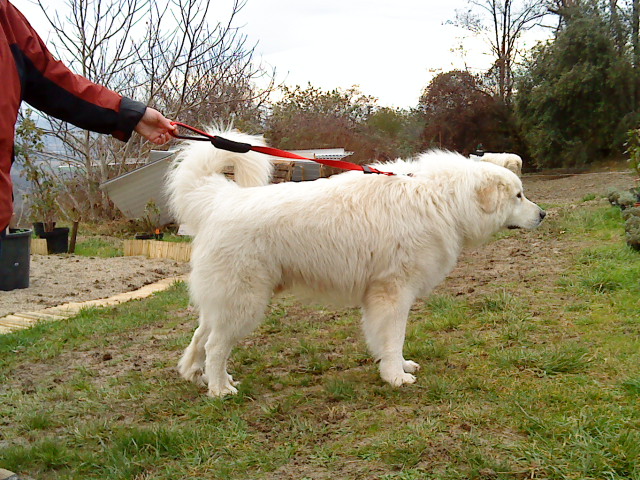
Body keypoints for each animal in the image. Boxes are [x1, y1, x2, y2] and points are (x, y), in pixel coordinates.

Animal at [166, 131, 545, 397]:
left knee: (201, 337)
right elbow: (393, 337)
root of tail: (220, 199)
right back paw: (220, 389)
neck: (442, 198)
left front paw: (397, 367)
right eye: (518, 196)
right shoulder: (392, 293)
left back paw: (200, 375)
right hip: (245, 301)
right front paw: (396, 377)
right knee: (215, 345)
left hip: (226, 301)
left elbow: (388, 341)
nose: (543, 214)